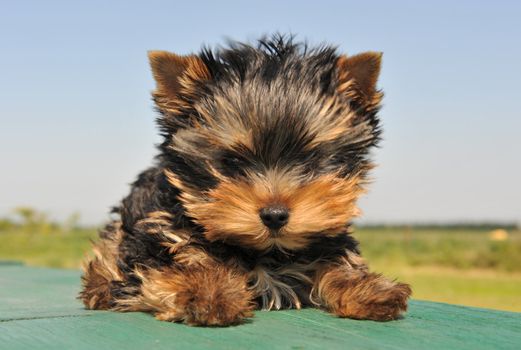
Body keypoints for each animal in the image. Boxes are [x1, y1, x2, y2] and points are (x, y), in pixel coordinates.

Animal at [78, 34, 410, 326]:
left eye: (312, 161)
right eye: (232, 162)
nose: (275, 215)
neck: (264, 250)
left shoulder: (327, 235)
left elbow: (337, 259)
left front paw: (366, 288)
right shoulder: (157, 236)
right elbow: (172, 264)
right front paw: (206, 288)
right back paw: (100, 286)